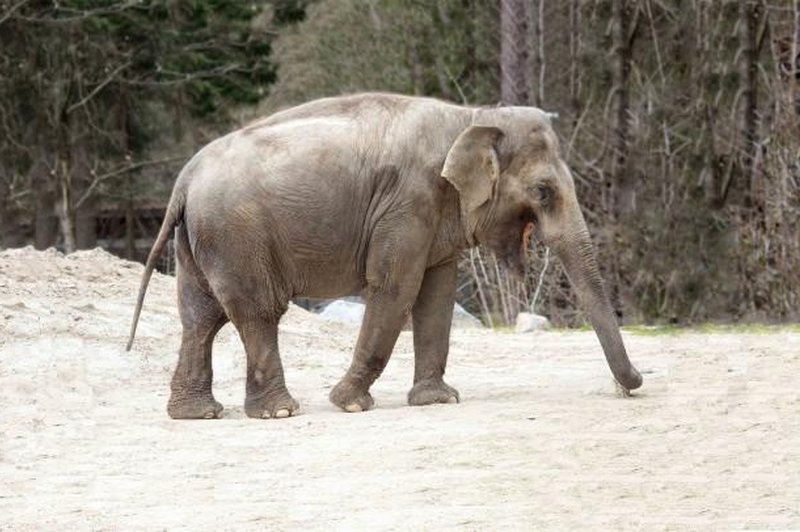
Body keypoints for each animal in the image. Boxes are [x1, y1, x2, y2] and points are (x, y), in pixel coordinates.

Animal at [125, 91, 644, 420]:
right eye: (543, 192)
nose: (631, 385)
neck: (471, 117)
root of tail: (185, 179)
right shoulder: (408, 201)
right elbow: (396, 287)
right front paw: (349, 403)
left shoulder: (434, 214)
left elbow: (436, 294)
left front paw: (438, 401)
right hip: (236, 233)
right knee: (256, 312)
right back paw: (280, 411)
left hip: (201, 239)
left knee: (200, 318)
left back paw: (198, 414)